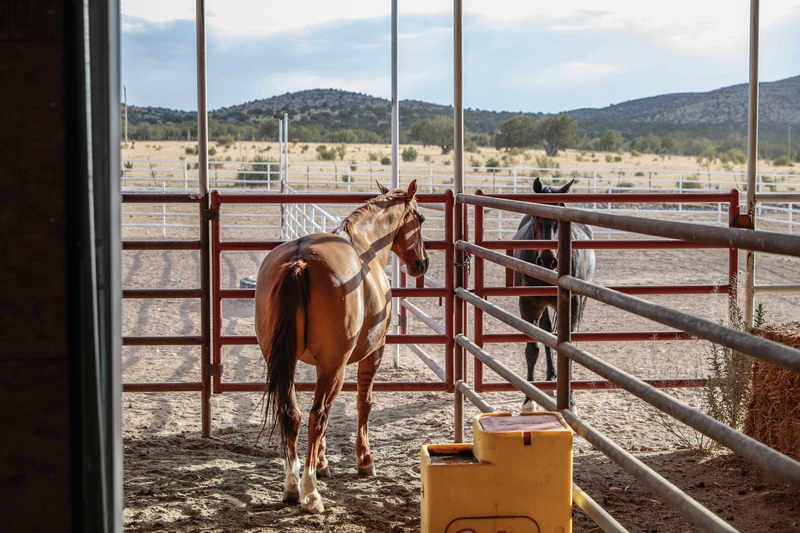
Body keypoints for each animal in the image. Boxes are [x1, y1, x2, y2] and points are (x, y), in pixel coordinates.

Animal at [256, 179, 432, 512]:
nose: (422, 263)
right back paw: (310, 493)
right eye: (421, 219)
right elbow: (364, 403)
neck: (366, 243)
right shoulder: (372, 352)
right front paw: (365, 461)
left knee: (293, 413)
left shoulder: (317, 363)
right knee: (317, 415)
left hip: (289, 363)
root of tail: (299, 260)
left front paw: (323, 463)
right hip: (335, 366)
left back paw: (292, 485)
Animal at [512, 177, 592, 410]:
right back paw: (550, 376)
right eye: (536, 215)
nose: (548, 259)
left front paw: (571, 400)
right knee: (546, 330)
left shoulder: (573, 305)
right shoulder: (528, 304)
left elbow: (568, 351)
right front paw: (529, 401)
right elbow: (532, 350)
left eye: (560, 213)